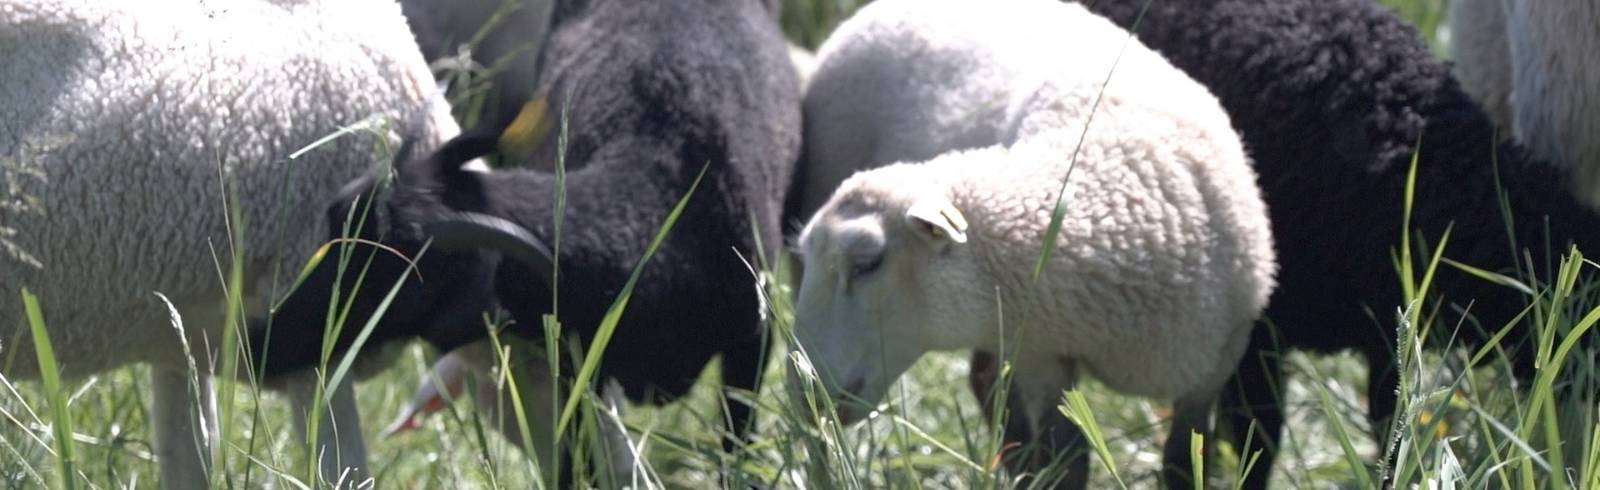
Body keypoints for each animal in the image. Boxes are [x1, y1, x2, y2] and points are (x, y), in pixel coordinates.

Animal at [252, 0, 800, 477]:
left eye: (399, 288)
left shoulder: (753, 340)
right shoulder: (578, 373)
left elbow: (735, 450)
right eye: (334, 228)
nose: (258, 343)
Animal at [793, 0, 1280, 486]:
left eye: (866, 264)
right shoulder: (1037, 349)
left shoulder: (1214, 371)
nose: (805, 393)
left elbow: (1184, 460)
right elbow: (1067, 458)